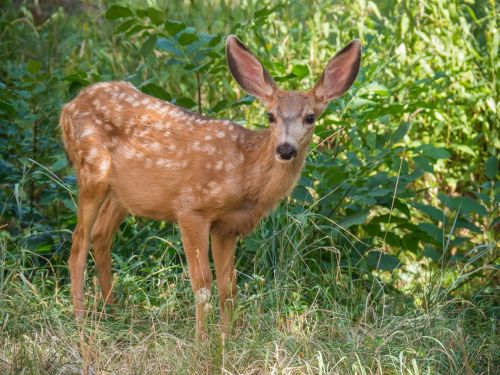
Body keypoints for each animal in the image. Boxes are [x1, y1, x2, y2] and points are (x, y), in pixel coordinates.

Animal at [60, 35, 362, 340]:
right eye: (271, 116)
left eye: (310, 117)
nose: (285, 149)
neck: (245, 174)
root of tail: (68, 107)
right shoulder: (191, 209)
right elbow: (203, 284)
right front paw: (201, 341)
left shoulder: (227, 228)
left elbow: (229, 286)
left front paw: (227, 339)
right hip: (92, 171)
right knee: (79, 242)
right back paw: (80, 320)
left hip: (124, 193)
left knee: (101, 235)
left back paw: (113, 311)